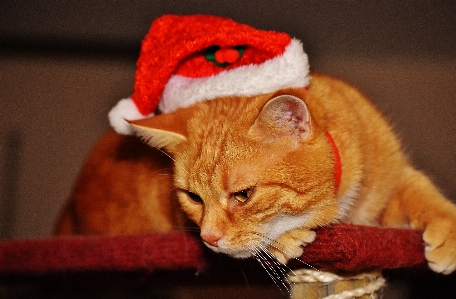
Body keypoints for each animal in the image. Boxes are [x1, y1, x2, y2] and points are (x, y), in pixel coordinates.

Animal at [57, 74, 456, 276]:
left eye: (243, 195)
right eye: (193, 197)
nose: (209, 239)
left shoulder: (393, 179)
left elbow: (425, 194)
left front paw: (448, 234)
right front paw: (284, 238)